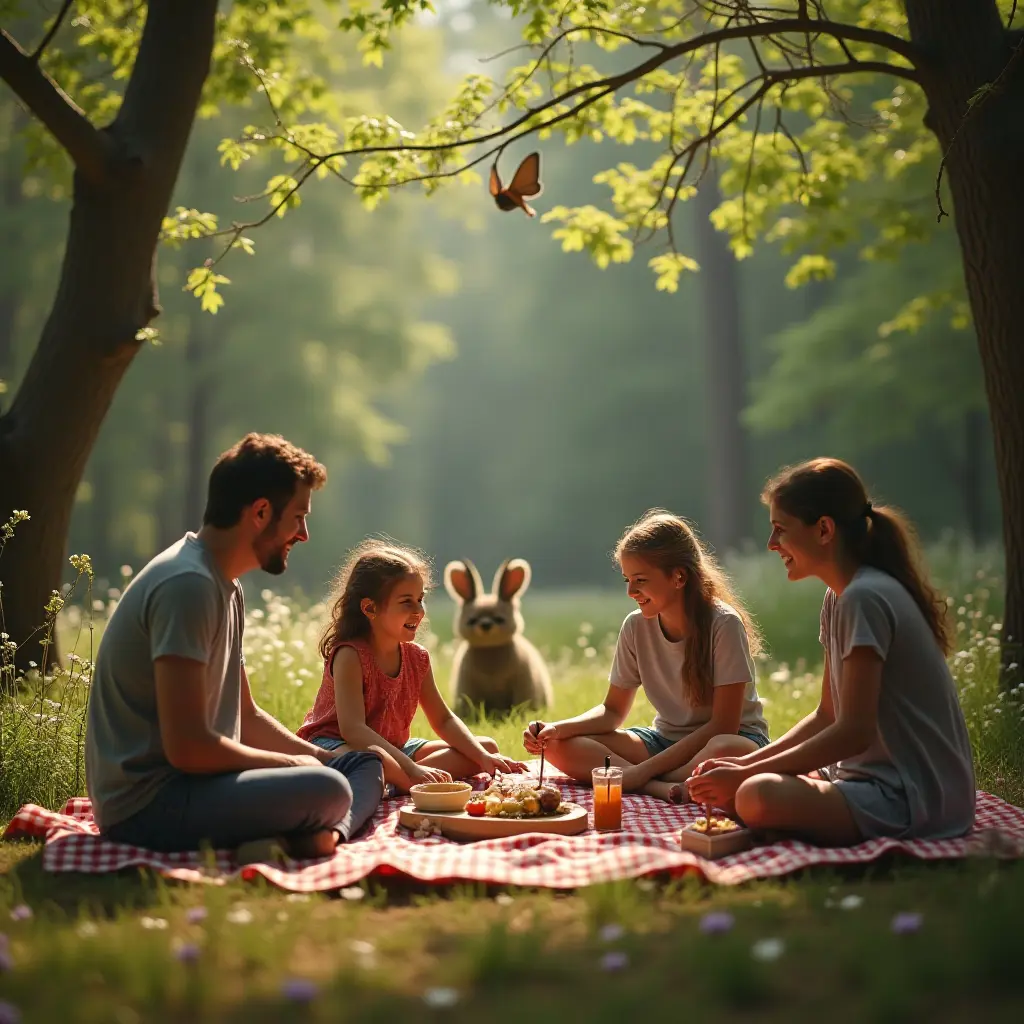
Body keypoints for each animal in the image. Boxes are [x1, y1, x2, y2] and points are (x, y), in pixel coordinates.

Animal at [442, 557, 552, 716]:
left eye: (500, 619)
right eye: (472, 620)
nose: (485, 625)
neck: (490, 650)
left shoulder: (523, 681)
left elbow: (522, 703)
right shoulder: (467, 684)